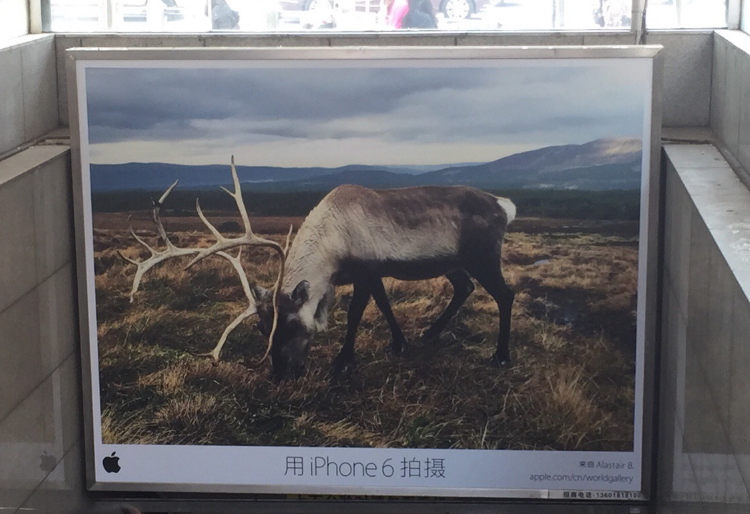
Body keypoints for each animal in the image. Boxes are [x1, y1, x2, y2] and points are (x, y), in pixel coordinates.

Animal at [122, 157, 516, 380]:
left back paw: (500, 356)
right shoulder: (371, 274)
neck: (334, 240)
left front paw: (342, 362)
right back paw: (430, 333)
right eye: (262, 327)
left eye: (293, 325)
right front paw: (400, 343)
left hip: (483, 257)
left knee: (505, 294)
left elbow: (358, 313)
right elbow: (384, 304)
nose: (281, 374)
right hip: (453, 262)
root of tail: (503, 205)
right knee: (465, 287)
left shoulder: (366, 270)